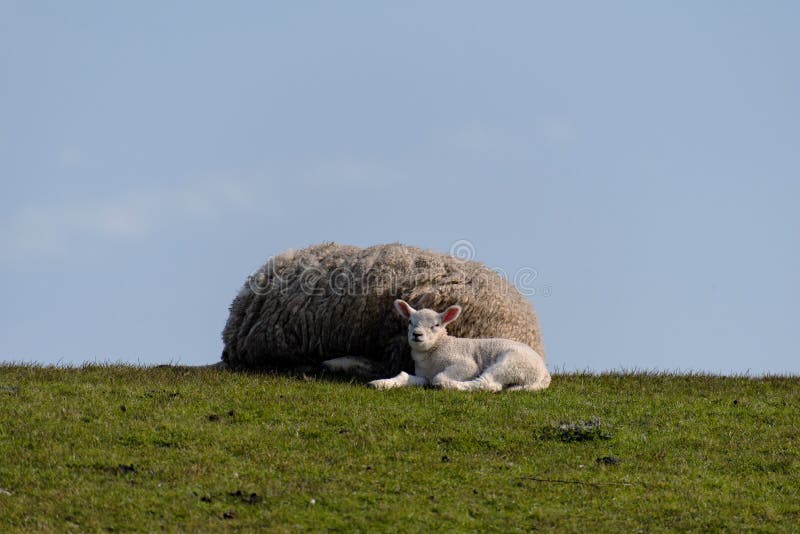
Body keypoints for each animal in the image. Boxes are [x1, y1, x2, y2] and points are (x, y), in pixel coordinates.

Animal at [368, 300, 551, 391]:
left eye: (436, 325)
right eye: (410, 322)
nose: (417, 334)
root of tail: (544, 374)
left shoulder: (465, 364)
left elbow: (438, 377)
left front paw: (445, 383)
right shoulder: (423, 375)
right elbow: (407, 377)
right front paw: (382, 383)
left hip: (511, 363)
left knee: (487, 384)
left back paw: (455, 386)